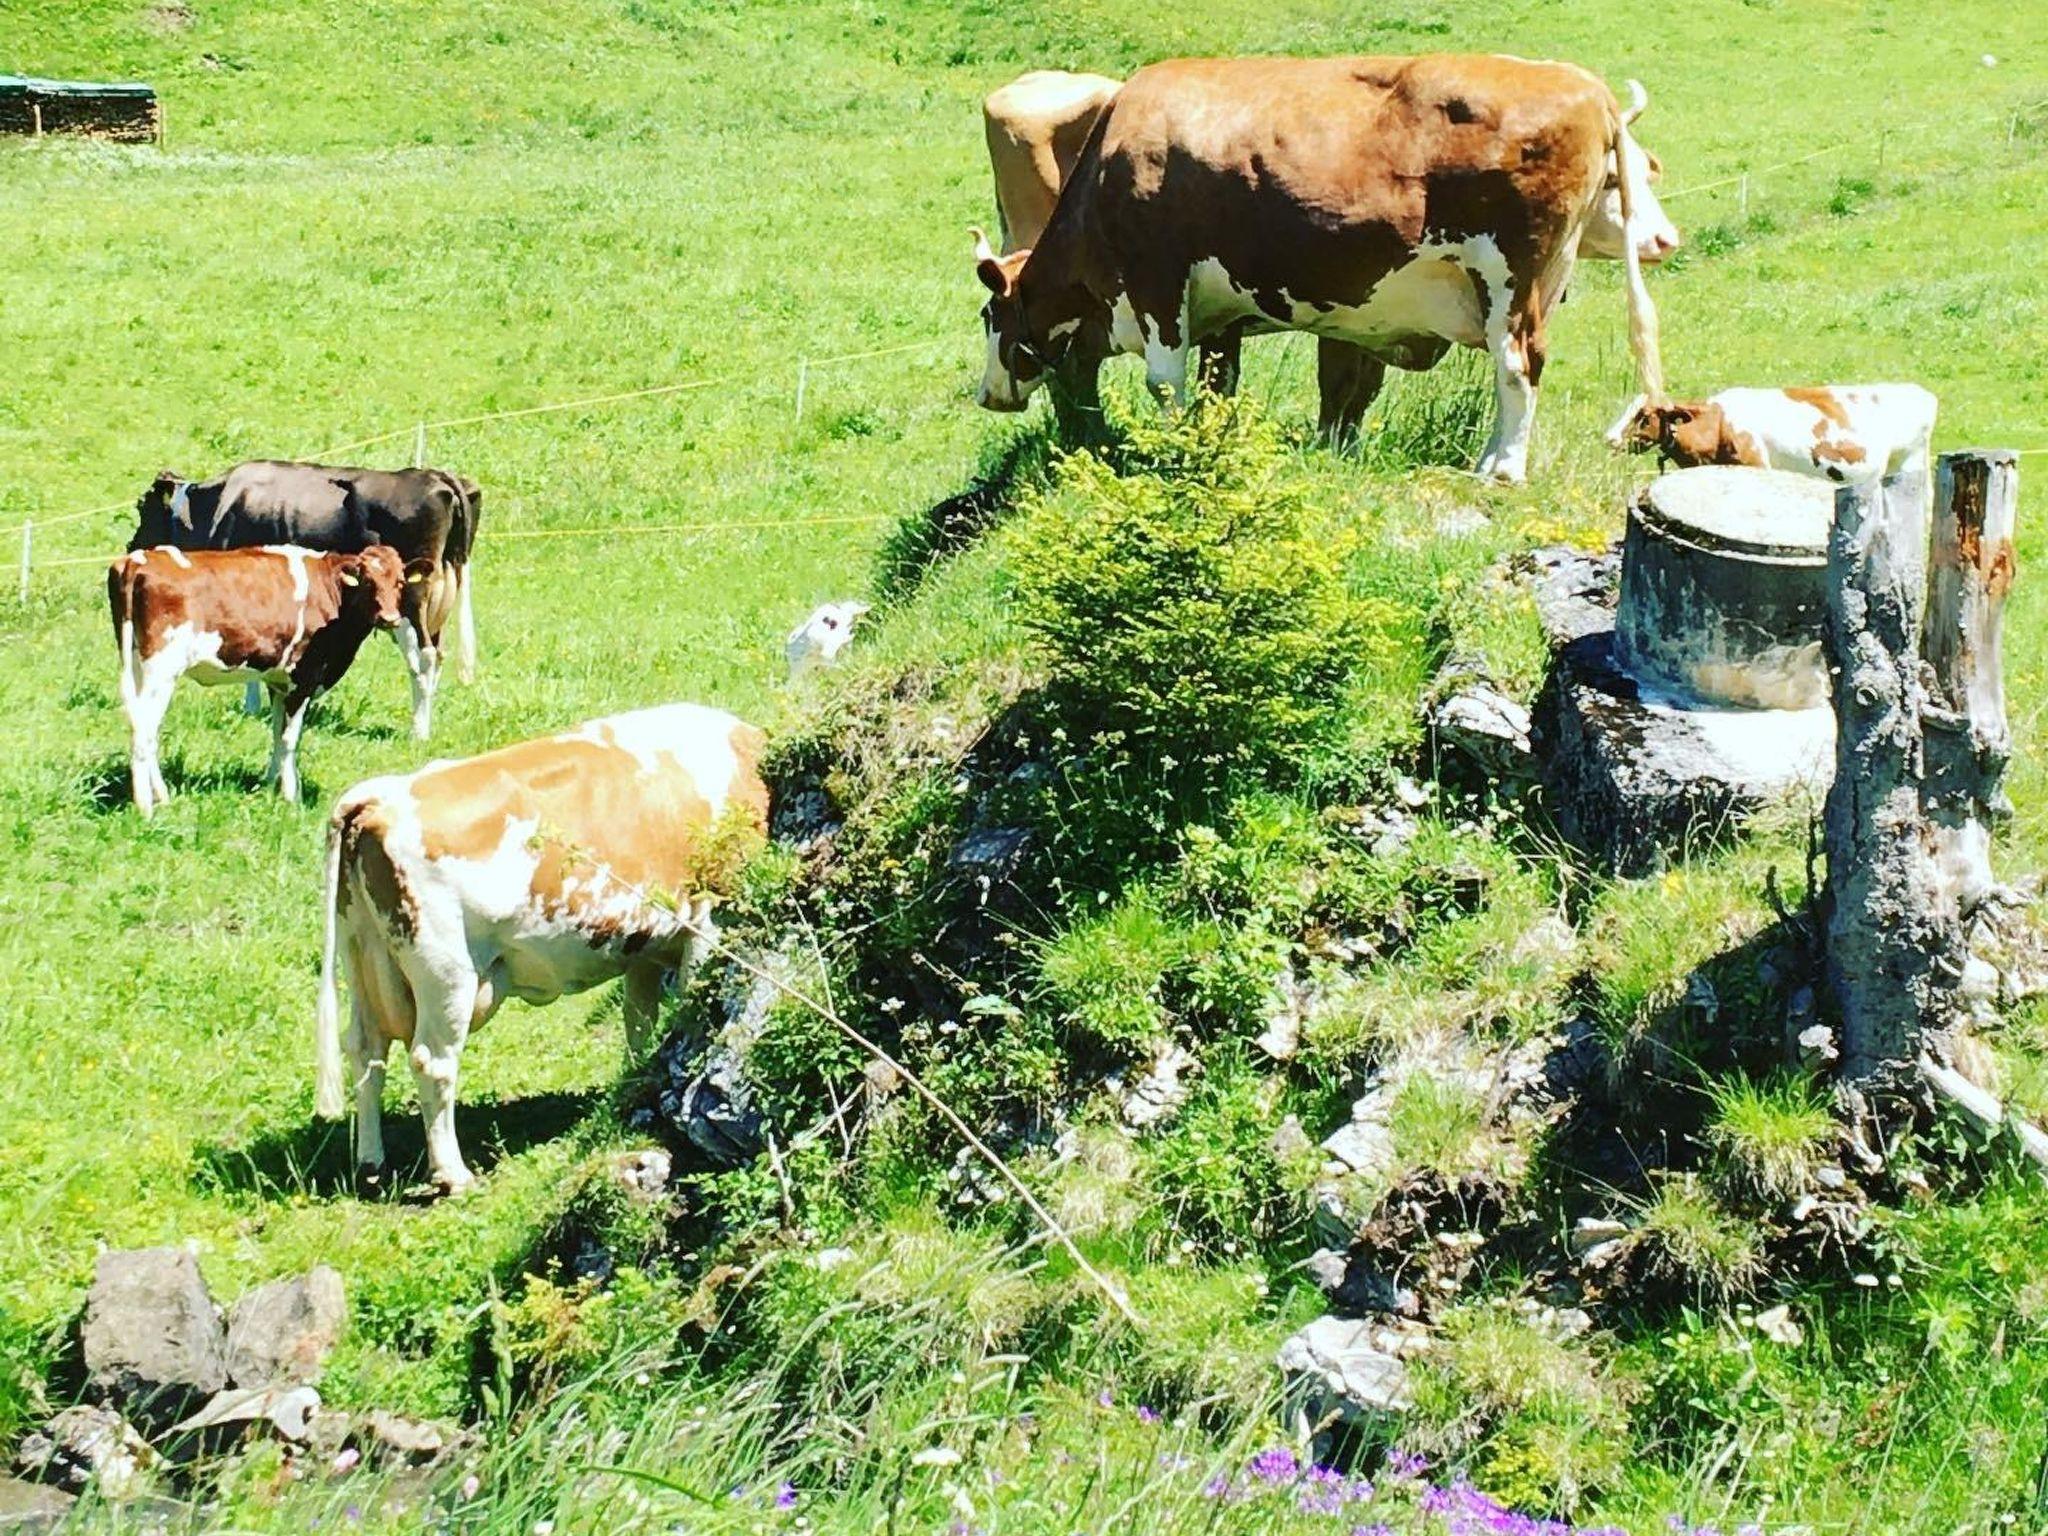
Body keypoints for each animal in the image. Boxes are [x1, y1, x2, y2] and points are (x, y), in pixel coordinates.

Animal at [107, 548, 407, 823]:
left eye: (400, 581)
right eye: (367, 581)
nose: (389, 618)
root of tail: (136, 559)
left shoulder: (277, 681)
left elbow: (276, 732)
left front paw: (269, 785)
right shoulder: (304, 678)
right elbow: (290, 739)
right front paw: (291, 796)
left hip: (136, 665)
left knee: (145, 729)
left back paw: (162, 796)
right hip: (160, 671)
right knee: (144, 733)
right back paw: (145, 807)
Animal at [132, 462, 483, 741]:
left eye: (142, 508)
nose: (131, 546)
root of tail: (436, 476)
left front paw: (251, 705)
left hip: (409, 601)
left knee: (423, 657)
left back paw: (418, 732)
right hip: (436, 604)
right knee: (437, 654)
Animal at [311, 704, 770, 1196]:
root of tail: (377, 797)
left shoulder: (645, 946)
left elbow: (639, 1024)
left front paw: (636, 1080)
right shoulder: (708, 923)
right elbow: (686, 1004)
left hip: (362, 954)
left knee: (366, 1048)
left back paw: (371, 1163)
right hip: (445, 971)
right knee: (431, 1061)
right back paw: (453, 1174)